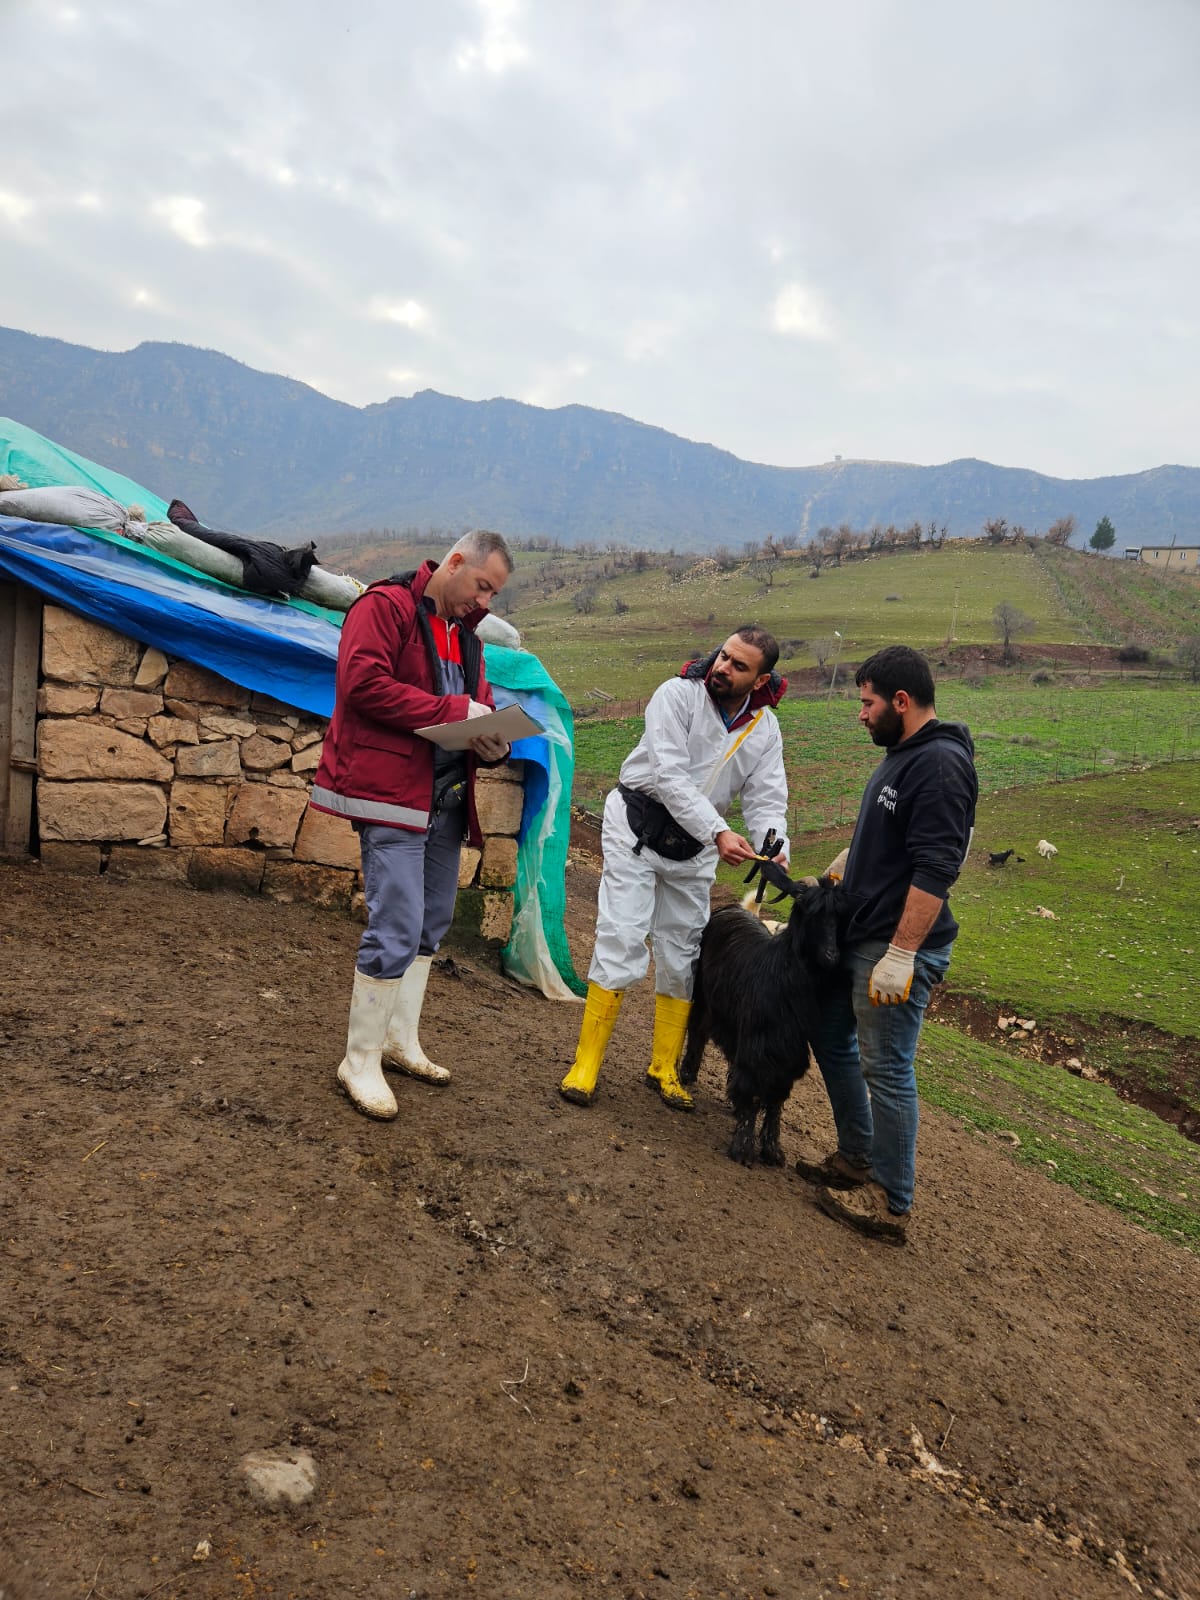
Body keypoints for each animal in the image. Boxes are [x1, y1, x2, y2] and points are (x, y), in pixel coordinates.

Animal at [684, 870, 844, 1171]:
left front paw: (772, 1150)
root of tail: (732, 908)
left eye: (840, 916)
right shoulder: (760, 1046)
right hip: (702, 994)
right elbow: (753, 1092)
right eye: (808, 909)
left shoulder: (789, 1052)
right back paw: (686, 1075)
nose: (832, 957)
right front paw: (743, 1147)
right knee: (697, 1032)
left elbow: (776, 1100)